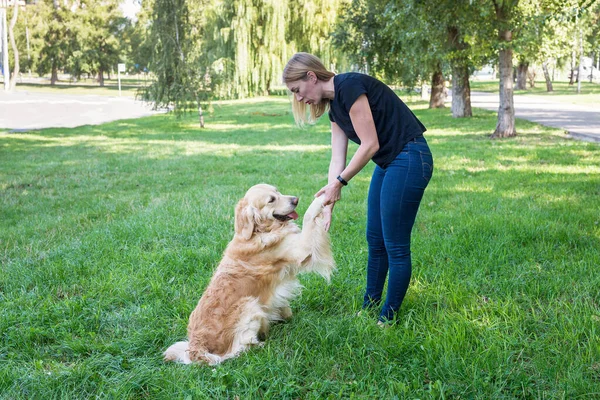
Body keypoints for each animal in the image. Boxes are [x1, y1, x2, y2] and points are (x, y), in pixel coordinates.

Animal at [162, 184, 336, 366]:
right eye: (271, 200)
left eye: (278, 191)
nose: (296, 200)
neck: (258, 231)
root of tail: (196, 347)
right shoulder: (301, 250)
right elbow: (309, 216)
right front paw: (321, 199)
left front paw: (285, 315)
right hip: (249, 304)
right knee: (239, 348)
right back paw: (261, 345)